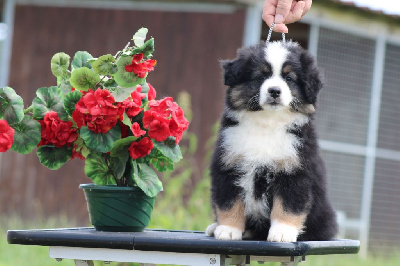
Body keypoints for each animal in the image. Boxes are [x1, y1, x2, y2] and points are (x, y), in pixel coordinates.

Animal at [206, 40, 338, 242]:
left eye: (289, 78)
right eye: (261, 76)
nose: (275, 91)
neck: (267, 123)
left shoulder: (295, 171)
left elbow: (288, 206)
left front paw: (282, 232)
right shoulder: (228, 164)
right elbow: (230, 202)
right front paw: (228, 229)